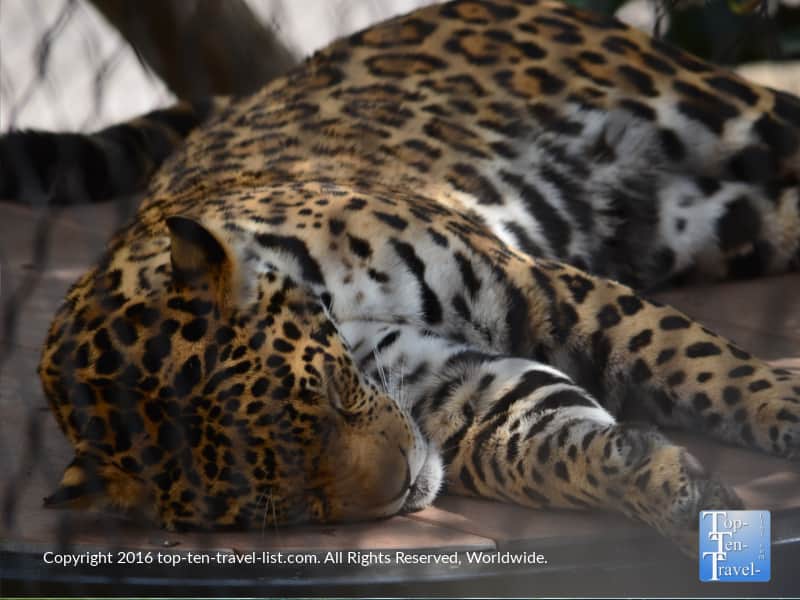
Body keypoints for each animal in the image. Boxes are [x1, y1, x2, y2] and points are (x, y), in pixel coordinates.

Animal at [1, 0, 799, 557]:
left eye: (328, 393)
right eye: (282, 497)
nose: (404, 485)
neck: (342, 312)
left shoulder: (537, 292)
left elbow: (701, 364)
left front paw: (784, 411)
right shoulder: (460, 391)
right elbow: (554, 442)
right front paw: (669, 490)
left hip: (736, 118)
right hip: (718, 223)